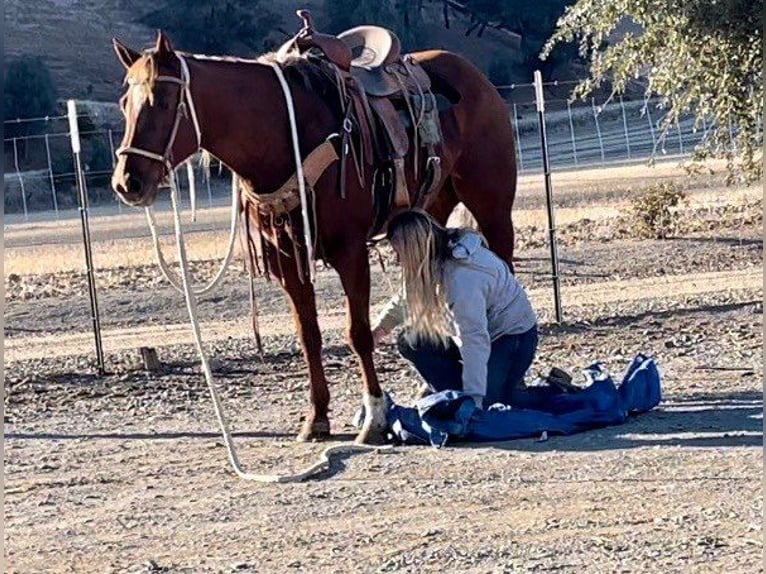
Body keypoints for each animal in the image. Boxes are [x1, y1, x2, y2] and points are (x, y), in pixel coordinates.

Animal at [111, 31, 520, 446]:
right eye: (124, 103)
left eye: (161, 101)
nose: (127, 182)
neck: (282, 136)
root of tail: (474, 77)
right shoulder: (288, 259)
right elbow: (309, 335)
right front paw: (317, 417)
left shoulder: (350, 251)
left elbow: (358, 333)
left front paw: (375, 417)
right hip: (433, 206)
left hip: (492, 206)